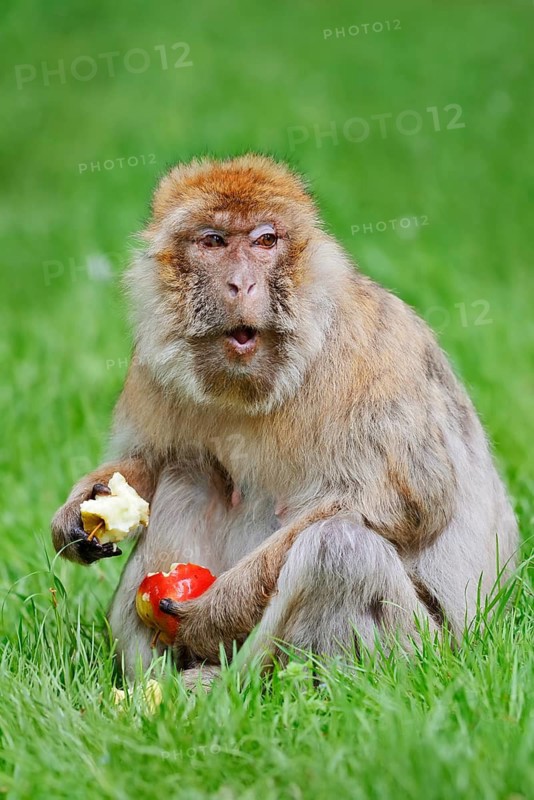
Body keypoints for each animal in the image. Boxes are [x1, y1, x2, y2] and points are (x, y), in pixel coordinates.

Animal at [51, 154, 518, 678]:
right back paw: (156, 682)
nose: (242, 283)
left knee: (341, 549)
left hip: (424, 650)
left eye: (265, 241)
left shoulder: (373, 352)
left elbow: (405, 501)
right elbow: (148, 461)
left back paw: (231, 686)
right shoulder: (151, 363)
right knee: (190, 470)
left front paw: (215, 612)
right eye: (214, 241)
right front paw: (82, 508)